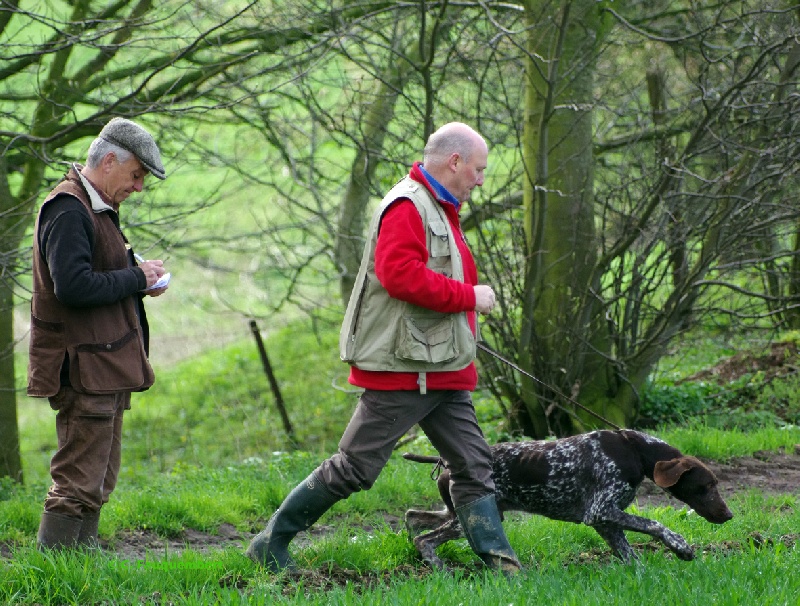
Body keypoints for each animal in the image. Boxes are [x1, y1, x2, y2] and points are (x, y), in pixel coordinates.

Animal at [404, 430, 736, 568]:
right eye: (706, 486)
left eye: (715, 484)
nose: (728, 515)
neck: (635, 451)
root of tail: (446, 463)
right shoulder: (600, 511)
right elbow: (656, 525)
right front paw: (681, 547)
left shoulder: (605, 521)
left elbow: (630, 555)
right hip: (467, 519)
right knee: (425, 539)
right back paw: (442, 570)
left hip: (457, 513)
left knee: (412, 518)